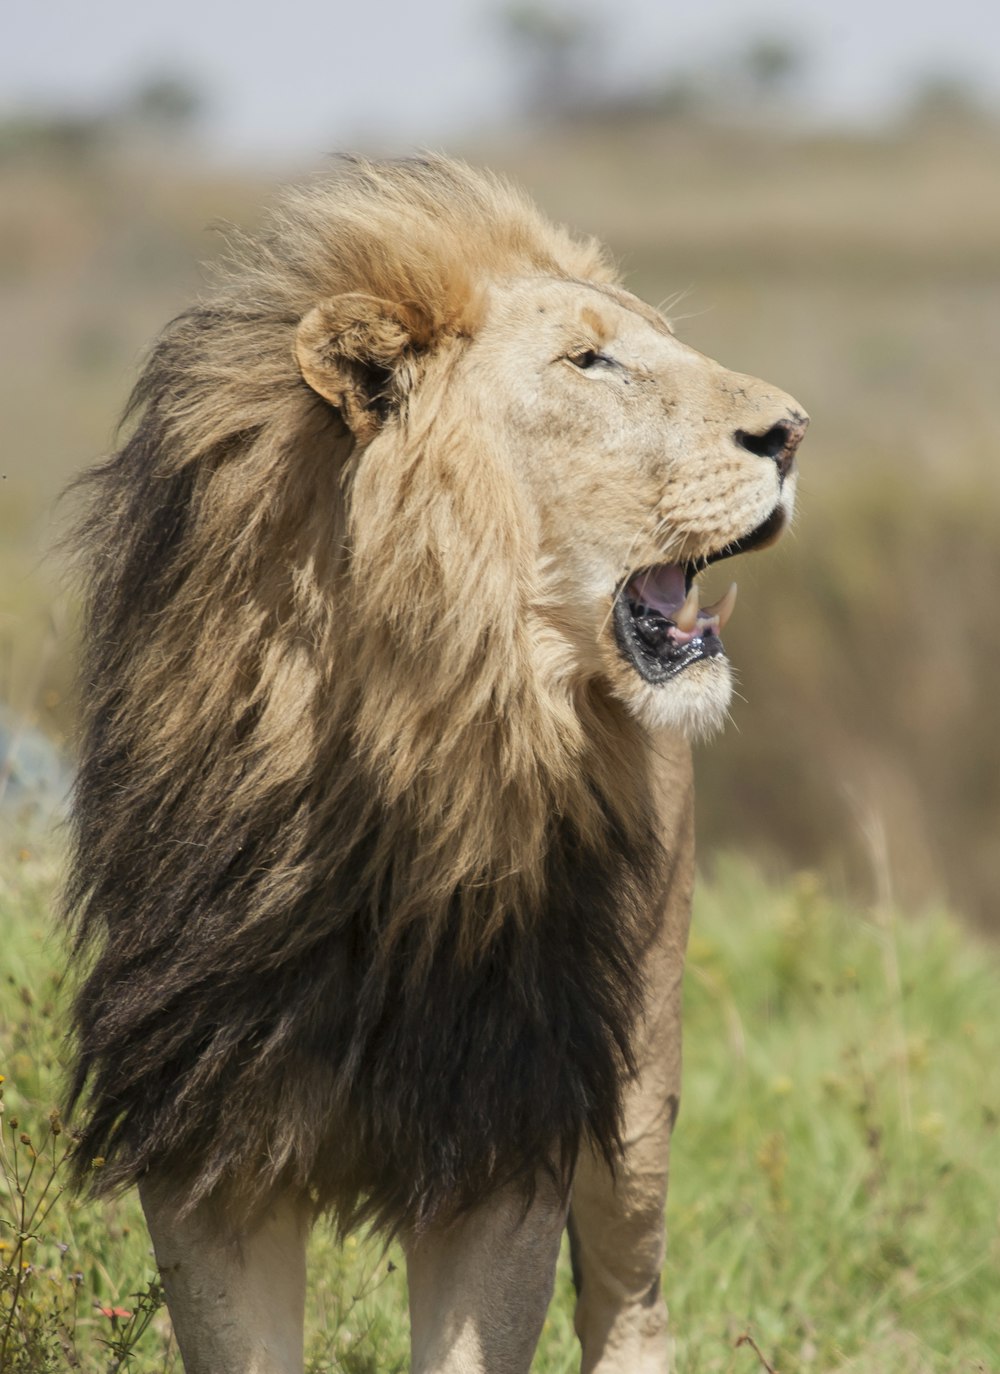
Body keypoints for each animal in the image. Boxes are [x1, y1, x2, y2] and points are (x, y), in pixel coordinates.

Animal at [66, 155, 802, 1368]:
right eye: (590, 361)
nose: (792, 432)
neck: (403, 760)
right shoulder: (202, 1128)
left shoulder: (509, 1119)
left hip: (638, 1076)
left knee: (632, 1300)